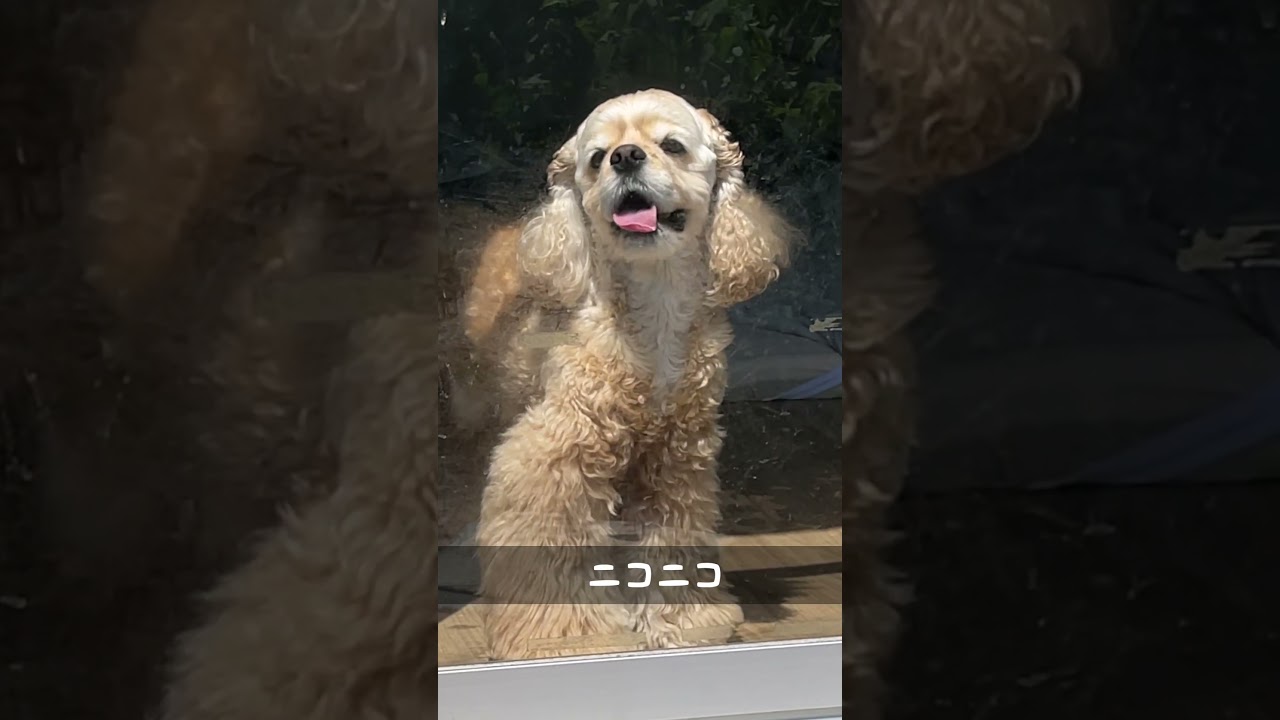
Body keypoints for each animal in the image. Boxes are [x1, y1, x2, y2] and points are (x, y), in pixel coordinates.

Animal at [459, 89, 793, 659]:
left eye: (672, 146)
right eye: (597, 158)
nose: (626, 157)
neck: (649, 302)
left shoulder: (676, 458)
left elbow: (671, 538)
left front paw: (681, 622)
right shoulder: (554, 454)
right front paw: (569, 638)